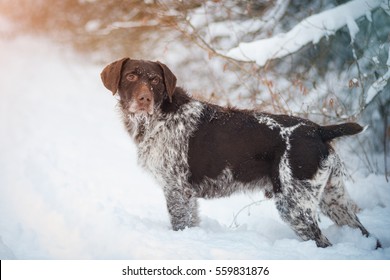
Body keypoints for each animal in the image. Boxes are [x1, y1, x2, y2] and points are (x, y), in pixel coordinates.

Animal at [100, 56, 380, 247]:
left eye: (155, 80)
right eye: (131, 77)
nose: (144, 99)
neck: (157, 118)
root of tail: (318, 130)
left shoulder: (176, 190)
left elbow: (180, 224)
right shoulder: (185, 195)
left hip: (294, 205)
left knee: (321, 241)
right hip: (334, 200)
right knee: (366, 234)